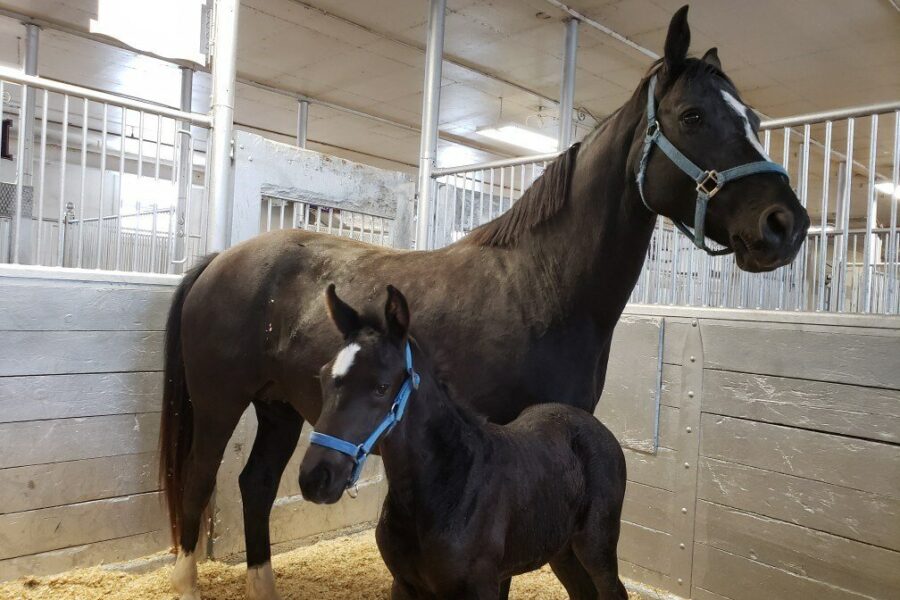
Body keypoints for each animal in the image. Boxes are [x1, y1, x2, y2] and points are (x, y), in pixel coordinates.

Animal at [299, 284, 629, 600]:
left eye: (381, 387)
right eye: (323, 377)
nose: (315, 478)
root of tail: (599, 429)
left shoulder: (479, 587)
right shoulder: (403, 585)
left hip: (595, 545)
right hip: (561, 549)